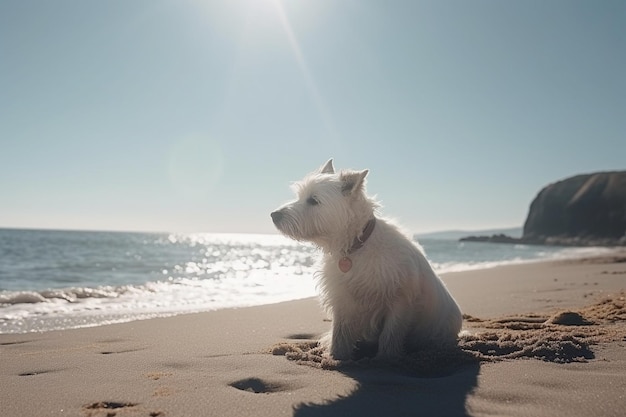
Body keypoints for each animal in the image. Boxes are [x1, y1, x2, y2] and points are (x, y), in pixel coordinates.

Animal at [270, 158, 460, 360]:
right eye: (300, 197)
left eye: (313, 200)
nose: (274, 215)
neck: (356, 246)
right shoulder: (342, 299)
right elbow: (340, 333)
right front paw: (336, 356)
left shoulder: (399, 300)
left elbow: (390, 334)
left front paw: (387, 358)